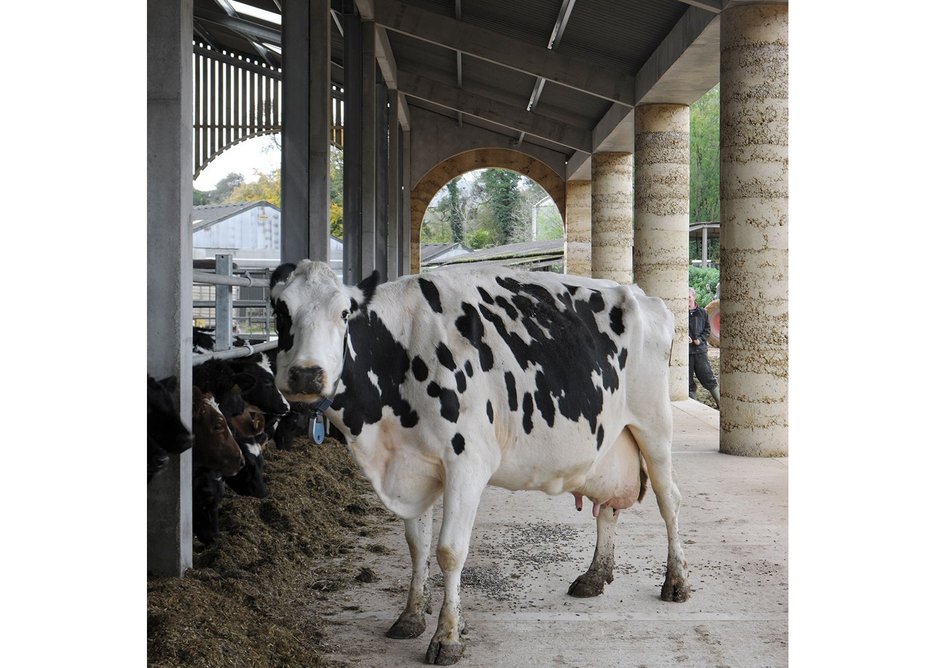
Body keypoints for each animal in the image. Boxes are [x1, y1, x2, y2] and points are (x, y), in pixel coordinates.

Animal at [270, 260, 688, 664]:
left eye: (343, 313)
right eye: (280, 310)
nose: (306, 374)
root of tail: (641, 295)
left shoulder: (467, 463)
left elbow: (449, 551)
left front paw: (448, 637)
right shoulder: (412, 466)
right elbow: (417, 545)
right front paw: (411, 616)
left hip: (654, 425)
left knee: (669, 500)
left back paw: (676, 582)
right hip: (612, 442)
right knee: (609, 509)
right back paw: (594, 575)